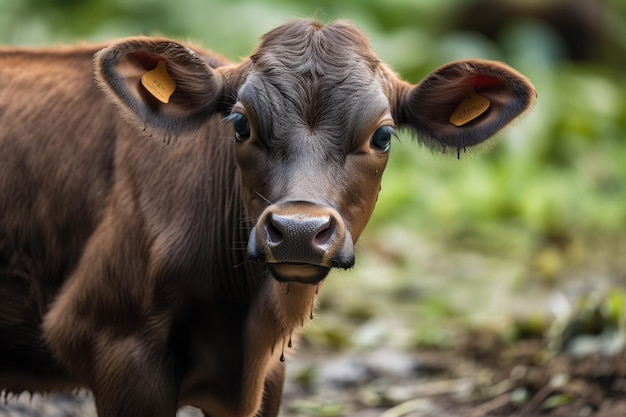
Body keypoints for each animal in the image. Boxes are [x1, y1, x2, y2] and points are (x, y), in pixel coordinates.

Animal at [0, 18, 532, 416]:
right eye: (240, 124)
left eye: (382, 136)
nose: (298, 231)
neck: (246, 327)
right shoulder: (114, 340)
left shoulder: (269, 375)